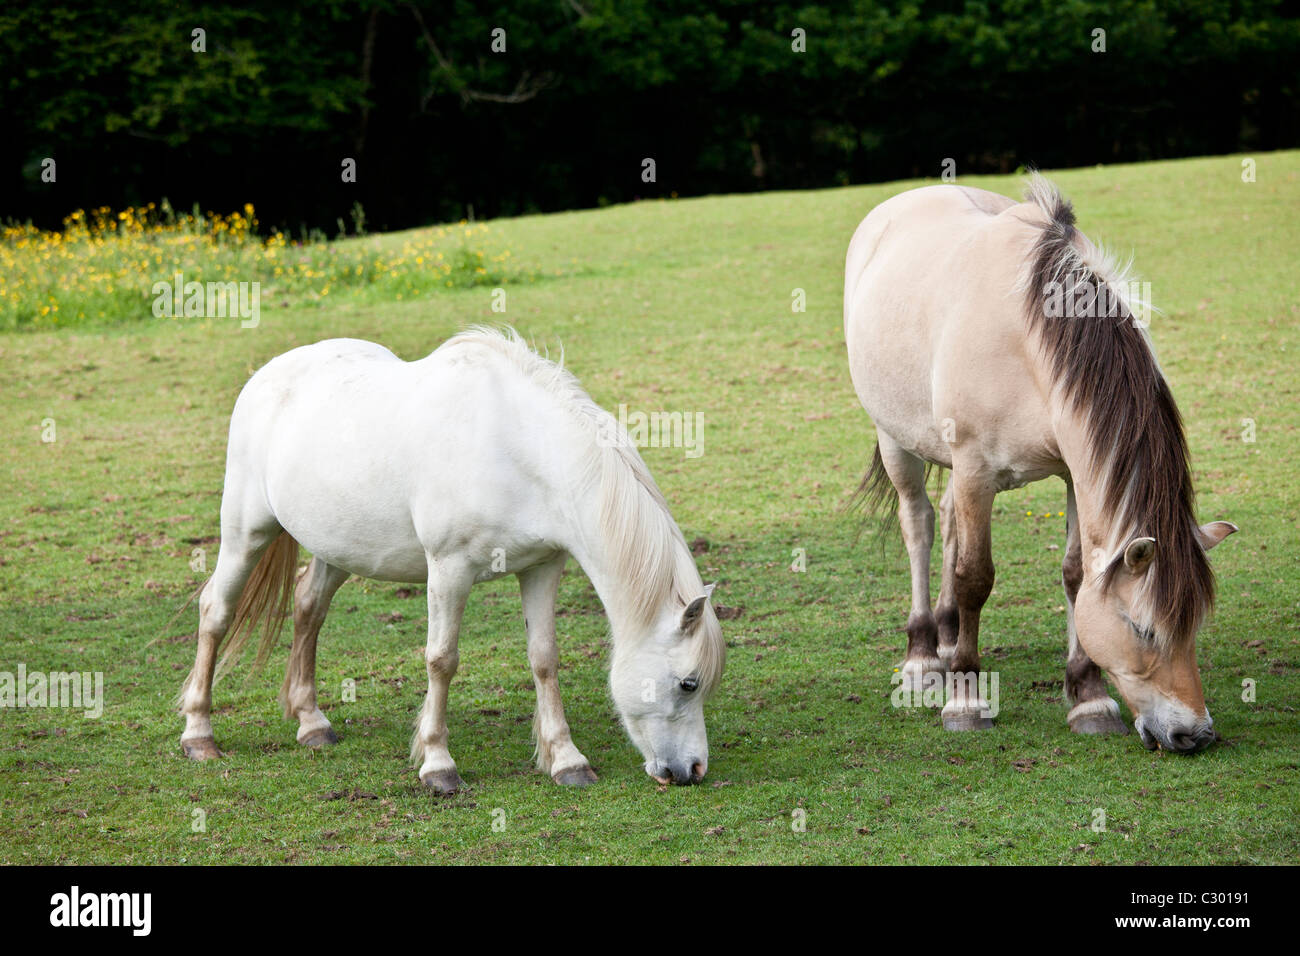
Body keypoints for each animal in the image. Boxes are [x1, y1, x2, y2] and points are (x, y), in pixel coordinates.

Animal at [175, 329, 722, 790]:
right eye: (688, 683)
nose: (693, 770)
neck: (516, 448)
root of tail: (266, 375)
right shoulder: (449, 568)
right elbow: (441, 660)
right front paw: (438, 765)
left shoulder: (542, 566)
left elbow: (544, 658)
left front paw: (567, 760)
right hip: (246, 533)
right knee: (216, 610)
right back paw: (199, 734)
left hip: (337, 547)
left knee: (308, 606)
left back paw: (312, 723)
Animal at [847, 175, 1232, 749]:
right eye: (1143, 628)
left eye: (1194, 624)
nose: (1195, 733)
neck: (1025, 344)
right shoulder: (976, 470)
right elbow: (975, 577)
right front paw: (967, 699)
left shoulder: (1073, 472)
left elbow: (1075, 574)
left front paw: (1088, 698)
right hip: (896, 438)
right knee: (918, 523)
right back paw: (923, 657)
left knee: (948, 521)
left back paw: (947, 634)